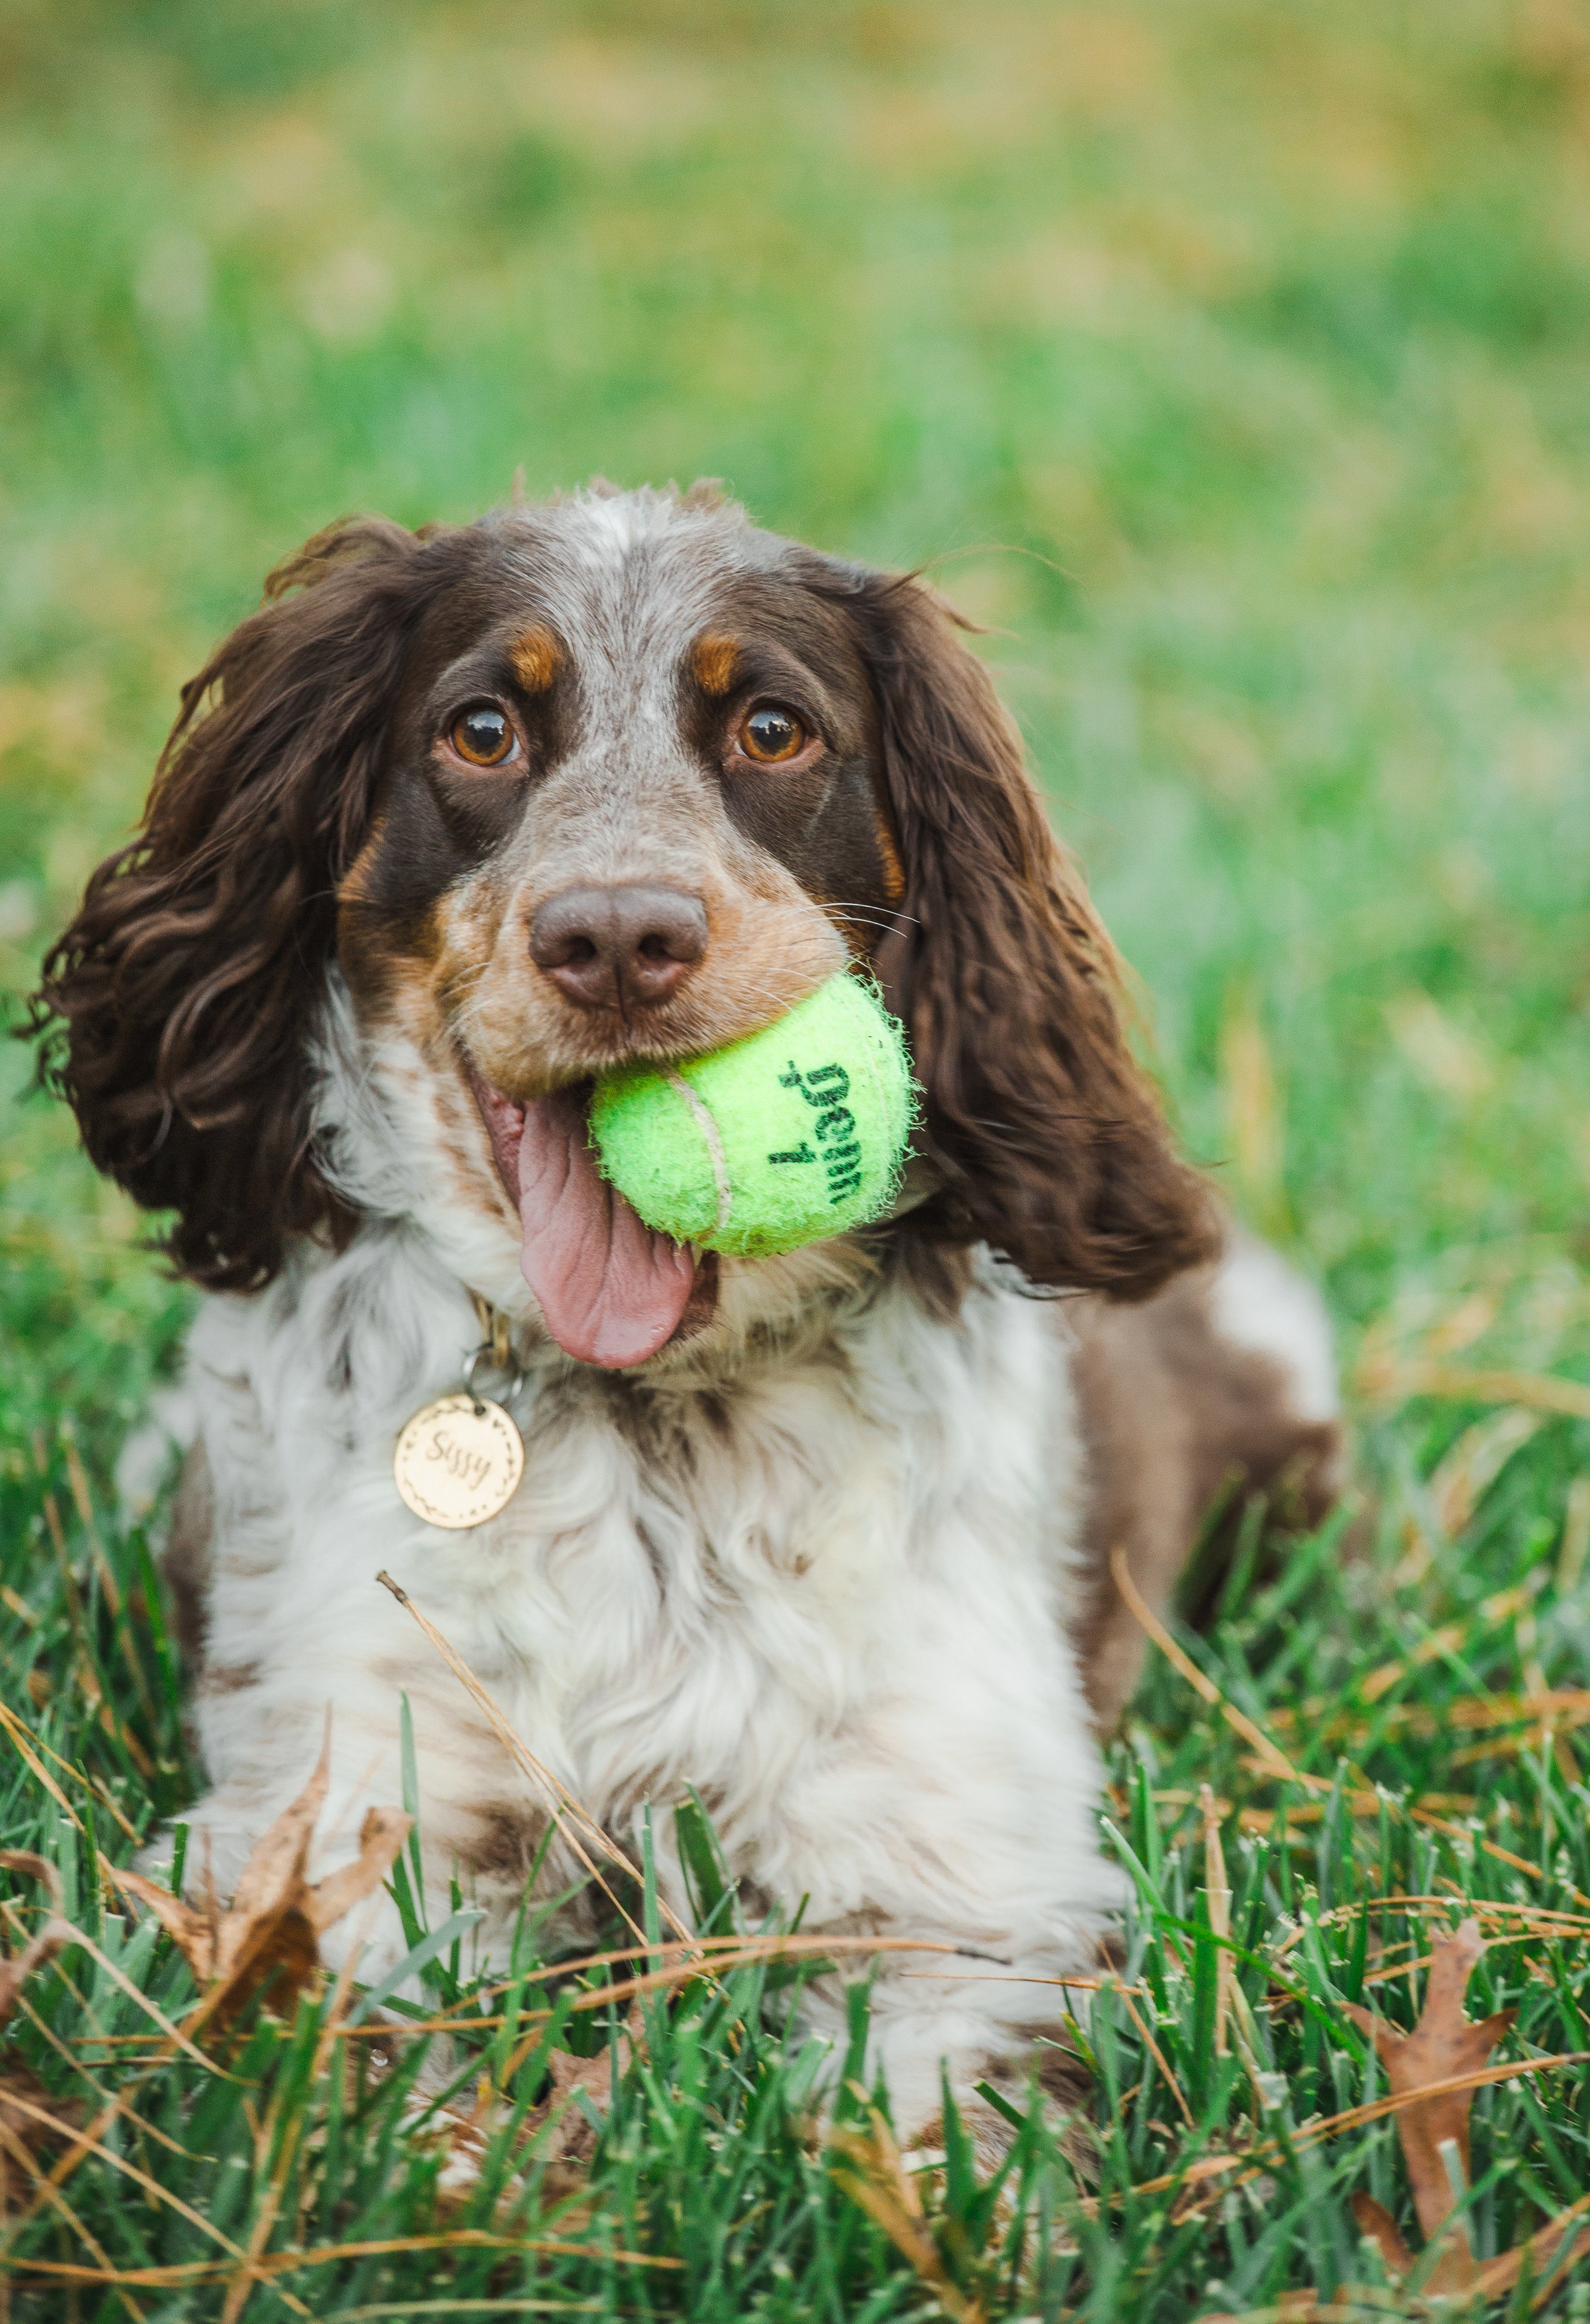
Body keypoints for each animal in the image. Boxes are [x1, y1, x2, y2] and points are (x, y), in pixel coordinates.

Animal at [34, 485, 1339, 2138]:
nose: (614, 939)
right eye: (479, 728)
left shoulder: (956, 1885)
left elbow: (931, 2137)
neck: (651, 1424)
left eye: (773, 728)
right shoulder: (336, 1818)